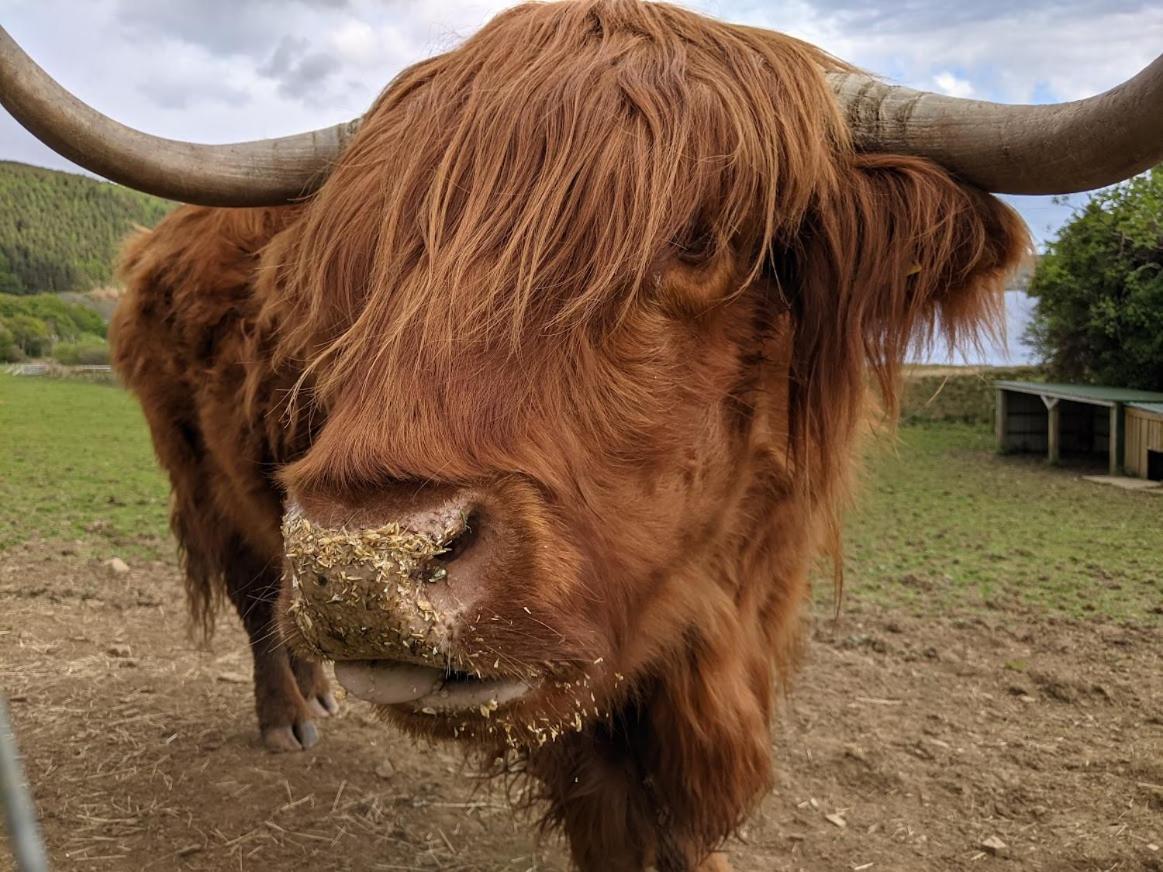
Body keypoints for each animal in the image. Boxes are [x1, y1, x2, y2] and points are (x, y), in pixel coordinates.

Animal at [2, 1, 1163, 872]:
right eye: (366, 258)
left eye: (700, 238)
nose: (361, 565)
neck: (707, 620)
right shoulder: (582, 696)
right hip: (201, 468)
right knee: (248, 586)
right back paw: (287, 715)